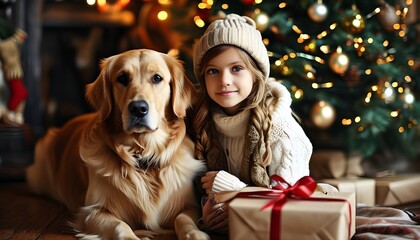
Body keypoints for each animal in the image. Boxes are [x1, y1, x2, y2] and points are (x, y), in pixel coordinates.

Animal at [26, 49, 210, 240]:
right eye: (122, 78)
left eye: (157, 78)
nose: (138, 108)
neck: (142, 155)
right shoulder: (92, 211)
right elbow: (120, 226)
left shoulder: (189, 205)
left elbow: (184, 219)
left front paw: (196, 234)